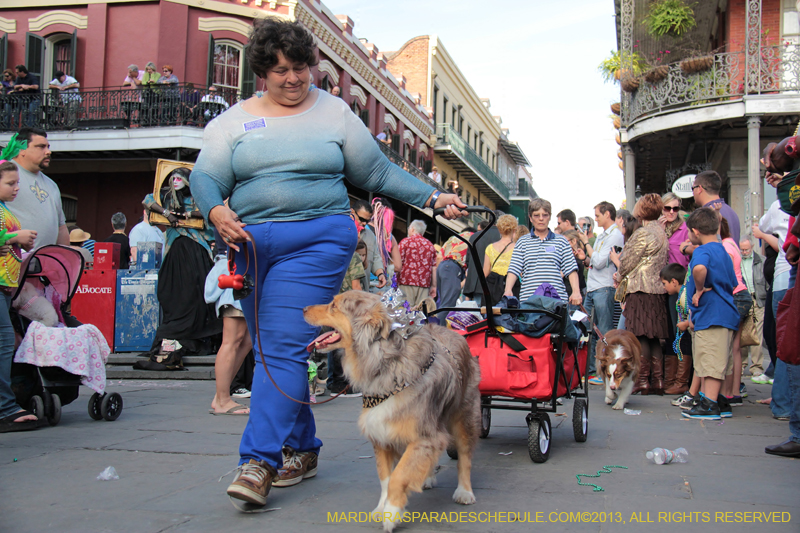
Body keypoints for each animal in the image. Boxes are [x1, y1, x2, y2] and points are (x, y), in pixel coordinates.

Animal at [304, 288, 482, 528]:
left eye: (333, 306)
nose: (303, 308)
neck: (385, 364)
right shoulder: (381, 433)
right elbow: (386, 477)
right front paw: (383, 508)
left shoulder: (424, 435)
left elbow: (399, 476)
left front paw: (392, 514)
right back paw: (427, 478)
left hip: (464, 415)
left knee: (464, 456)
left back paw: (464, 492)